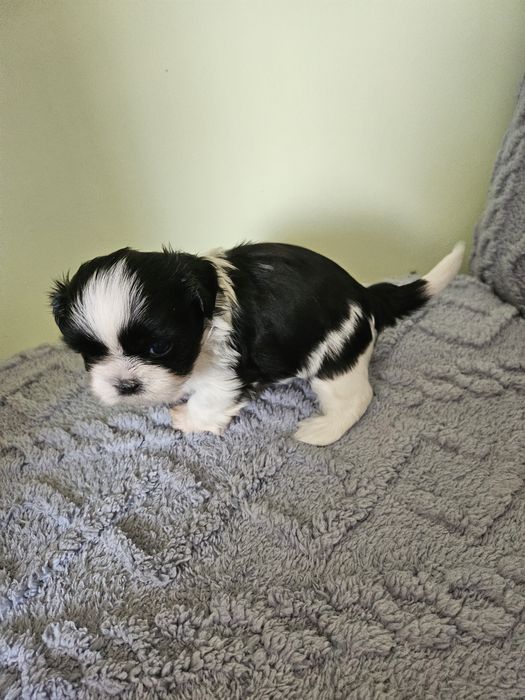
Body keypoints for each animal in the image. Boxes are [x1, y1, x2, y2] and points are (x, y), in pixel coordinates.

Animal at [50, 241, 464, 445]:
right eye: (90, 353)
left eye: (157, 349)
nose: (125, 385)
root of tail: (365, 295)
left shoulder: (229, 372)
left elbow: (208, 399)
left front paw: (188, 419)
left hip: (333, 360)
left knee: (356, 398)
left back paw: (322, 431)